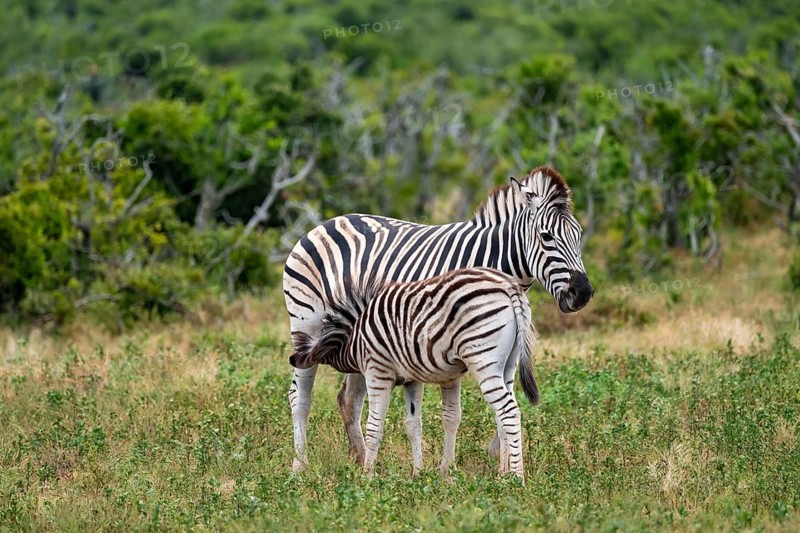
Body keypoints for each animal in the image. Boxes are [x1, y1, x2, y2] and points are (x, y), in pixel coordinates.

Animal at [290, 267, 539, 482]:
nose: (293, 358)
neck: (356, 334)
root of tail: (509, 286)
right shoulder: (412, 380)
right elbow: (414, 426)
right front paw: (418, 473)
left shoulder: (377, 372)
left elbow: (374, 427)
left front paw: (367, 476)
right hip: (508, 364)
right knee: (503, 413)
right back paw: (504, 474)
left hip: (483, 360)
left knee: (508, 411)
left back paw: (517, 478)